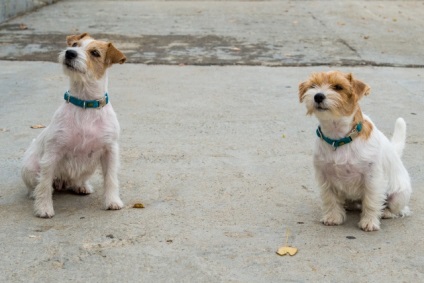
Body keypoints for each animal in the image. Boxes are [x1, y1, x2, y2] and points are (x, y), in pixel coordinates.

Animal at [22, 33, 126, 220]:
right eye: (75, 44)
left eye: (95, 53)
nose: (70, 53)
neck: (85, 104)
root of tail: (63, 182)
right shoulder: (52, 153)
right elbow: (45, 183)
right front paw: (43, 208)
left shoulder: (110, 151)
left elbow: (111, 179)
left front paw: (112, 201)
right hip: (29, 167)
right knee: (37, 184)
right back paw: (34, 194)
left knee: (77, 180)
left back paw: (82, 186)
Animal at [298, 71, 410, 233]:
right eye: (313, 85)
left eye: (338, 87)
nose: (318, 96)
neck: (338, 138)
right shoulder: (325, 177)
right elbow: (330, 199)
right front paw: (333, 217)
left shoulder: (372, 178)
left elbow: (371, 201)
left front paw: (369, 221)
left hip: (398, 196)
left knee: (400, 209)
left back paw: (386, 212)